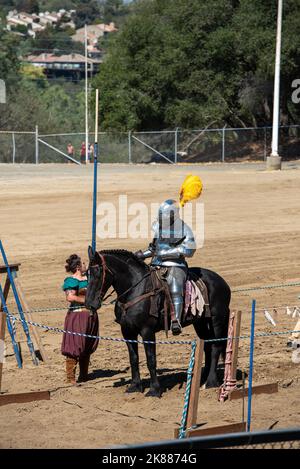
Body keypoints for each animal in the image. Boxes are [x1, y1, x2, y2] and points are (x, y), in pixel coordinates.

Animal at [85, 247, 231, 396]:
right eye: (87, 273)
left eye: (98, 273)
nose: (89, 303)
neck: (136, 289)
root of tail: (221, 281)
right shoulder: (127, 332)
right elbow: (133, 358)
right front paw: (134, 386)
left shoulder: (147, 331)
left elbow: (151, 359)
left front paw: (154, 389)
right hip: (200, 323)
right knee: (207, 345)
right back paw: (203, 378)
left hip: (216, 321)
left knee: (216, 347)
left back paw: (211, 382)